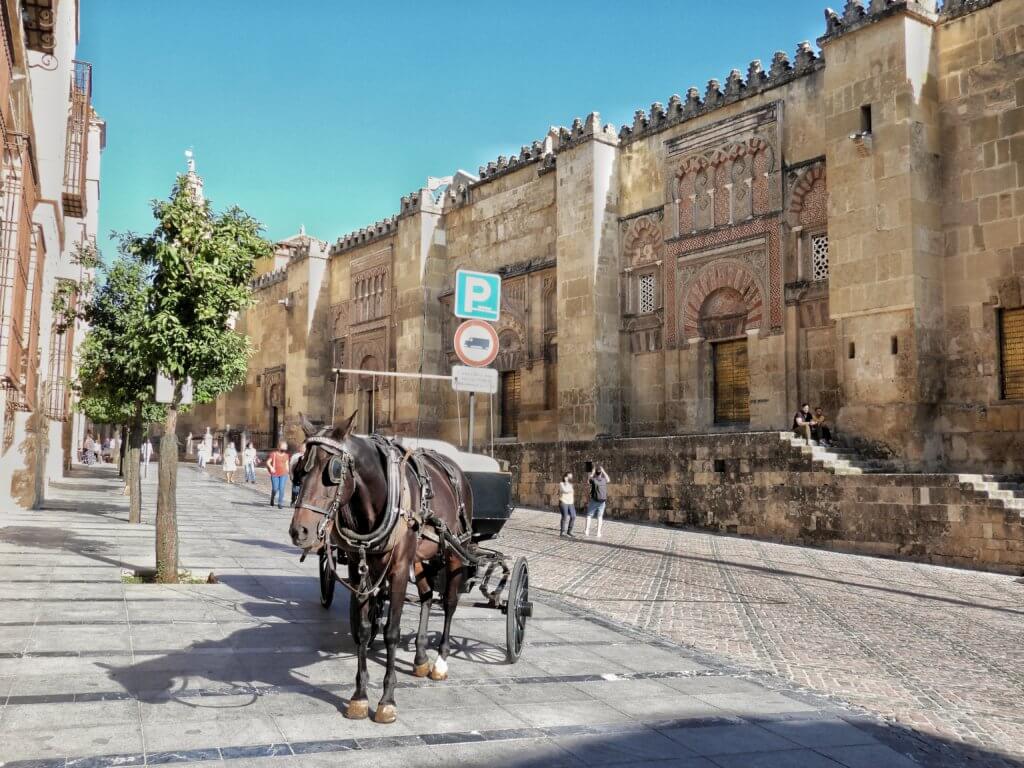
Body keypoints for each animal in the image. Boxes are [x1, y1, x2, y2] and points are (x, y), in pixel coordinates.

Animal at [286, 411, 473, 724]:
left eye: (333, 470)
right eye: (300, 469)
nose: (300, 531)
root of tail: (457, 470)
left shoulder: (397, 570)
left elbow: (392, 633)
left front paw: (387, 701)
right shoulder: (359, 570)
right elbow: (363, 629)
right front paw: (359, 697)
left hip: (455, 550)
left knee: (448, 603)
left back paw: (440, 662)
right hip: (420, 558)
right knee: (426, 596)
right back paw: (420, 658)